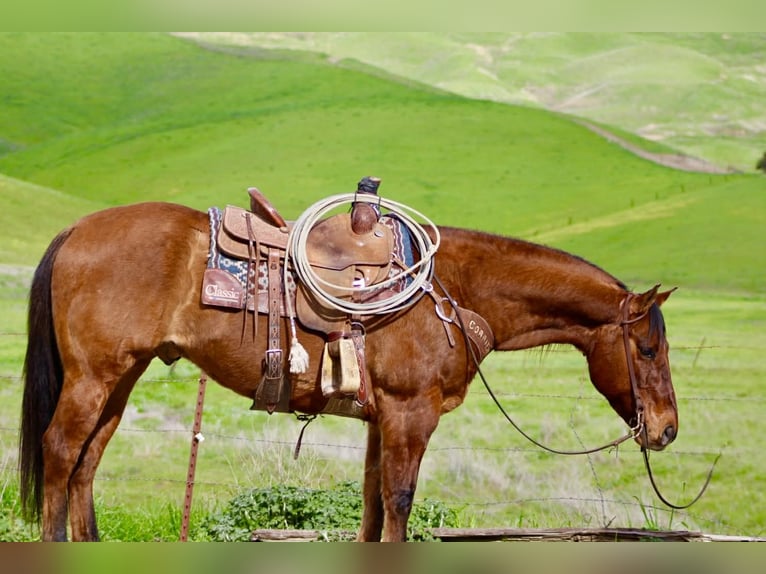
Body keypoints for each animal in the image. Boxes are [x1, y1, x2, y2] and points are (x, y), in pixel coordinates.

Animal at [19, 200, 677, 542]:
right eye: (648, 350)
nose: (667, 428)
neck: (453, 289)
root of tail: (76, 229)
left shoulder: (381, 419)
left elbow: (372, 502)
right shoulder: (411, 414)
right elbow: (400, 499)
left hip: (120, 379)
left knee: (87, 462)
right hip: (92, 378)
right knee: (61, 451)